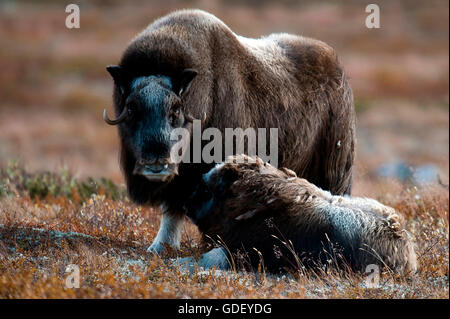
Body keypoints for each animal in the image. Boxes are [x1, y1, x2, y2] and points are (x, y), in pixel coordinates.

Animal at [103, 9, 356, 255]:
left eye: (175, 109)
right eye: (132, 109)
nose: (155, 163)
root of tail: (337, 66)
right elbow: (172, 210)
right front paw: (160, 247)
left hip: (334, 166)